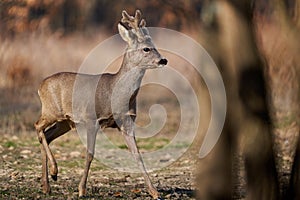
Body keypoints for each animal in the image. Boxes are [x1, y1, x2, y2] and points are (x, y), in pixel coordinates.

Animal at [34, 10, 168, 199]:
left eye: (153, 45)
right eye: (146, 48)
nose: (163, 60)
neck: (115, 94)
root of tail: (40, 86)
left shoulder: (127, 122)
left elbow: (138, 155)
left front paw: (154, 192)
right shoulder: (92, 119)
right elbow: (90, 154)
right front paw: (81, 189)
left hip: (65, 122)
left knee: (46, 135)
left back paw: (48, 184)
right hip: (51, 111)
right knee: (38, 126)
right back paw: (54, 172)